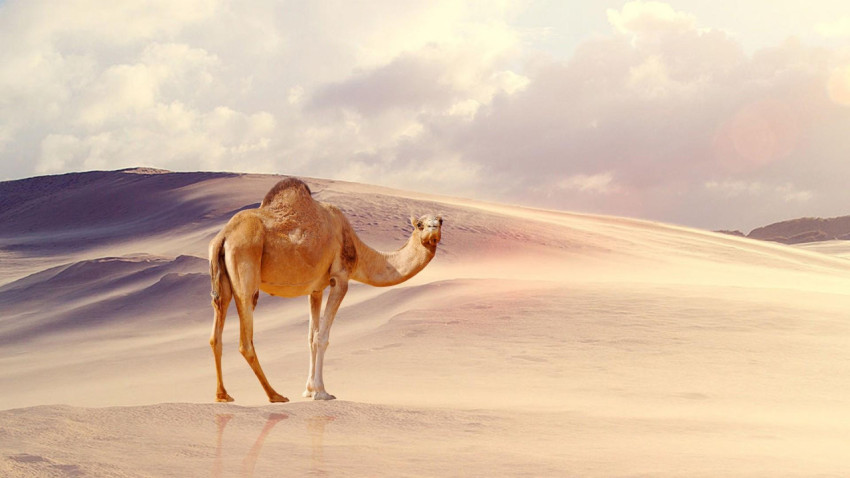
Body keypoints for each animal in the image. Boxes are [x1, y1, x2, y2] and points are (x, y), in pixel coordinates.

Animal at [208, 177, 442, 402]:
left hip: (222, 280)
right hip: (246, 265)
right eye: (420, 224)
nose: (433, 229)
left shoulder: (315, 290)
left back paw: (223, 395)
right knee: (245, 338)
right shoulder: (340, 278)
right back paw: (275, 395)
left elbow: (311, 336)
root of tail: (224, 236)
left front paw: (309, 390)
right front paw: (321, 392)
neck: (357, 249)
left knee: (216, 332)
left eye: (441, 221)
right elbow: (322, 337)